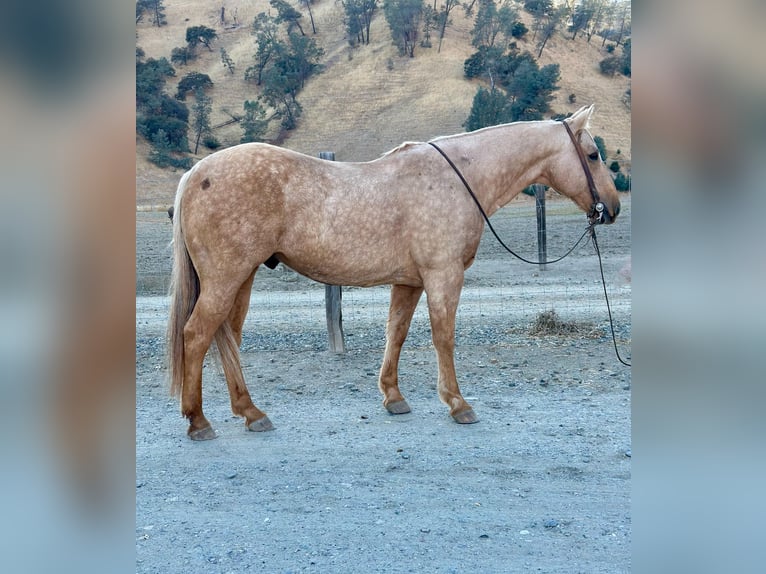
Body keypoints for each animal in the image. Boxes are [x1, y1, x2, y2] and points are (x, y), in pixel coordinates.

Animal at [168, 106, 624, 440]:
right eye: (593, 154)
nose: (612, 208)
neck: (459, 178)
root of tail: (196, 173)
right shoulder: (443, 276)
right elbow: (443, 337)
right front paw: (458, 403)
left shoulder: (409, 282)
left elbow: (397, 333)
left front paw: (393, 397)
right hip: (226, 279)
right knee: (197, 334)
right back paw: (199, 421)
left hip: (240, 279)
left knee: (226, 339)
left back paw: (250, 412)